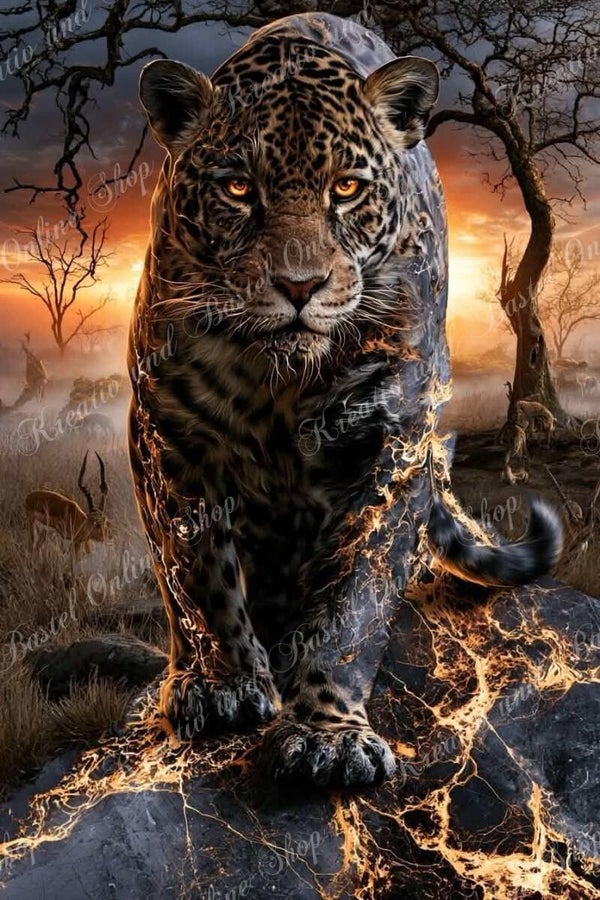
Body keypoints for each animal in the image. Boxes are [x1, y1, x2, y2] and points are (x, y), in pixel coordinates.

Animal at [128, 12, 562, 788]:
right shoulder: (167, 426)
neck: (280, 379)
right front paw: (220, 683)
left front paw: (328, 735)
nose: (298, 286)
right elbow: (197, 570)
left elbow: (351, 606)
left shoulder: (391, 441)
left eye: (348, 188)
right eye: (236, 189)